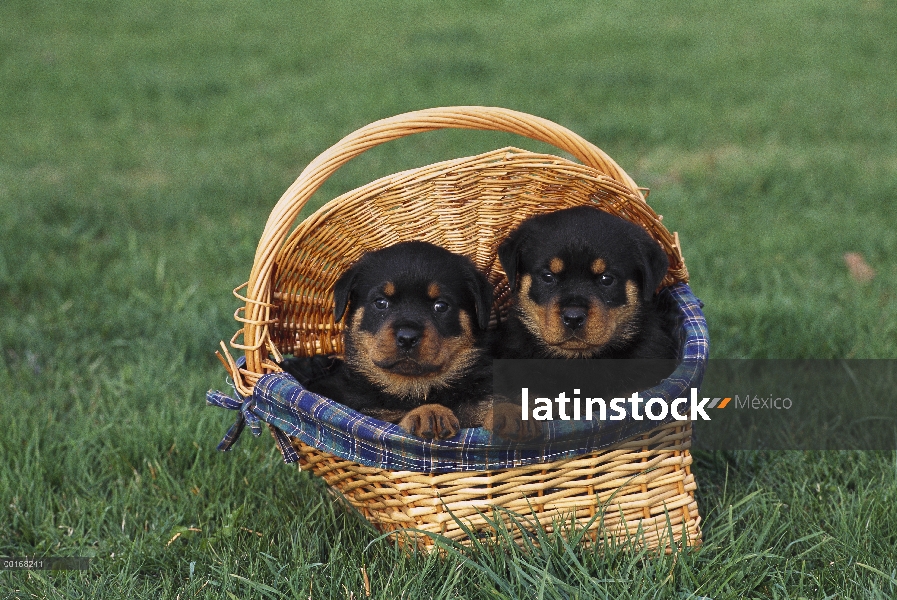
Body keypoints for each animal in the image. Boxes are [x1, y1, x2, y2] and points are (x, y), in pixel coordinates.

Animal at [278, 240, 494, 440]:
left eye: (441, 306)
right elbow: (390, 417)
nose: (407, 337)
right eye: (381, 302)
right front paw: (430, 411)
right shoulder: (367, 411)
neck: (415, 387)